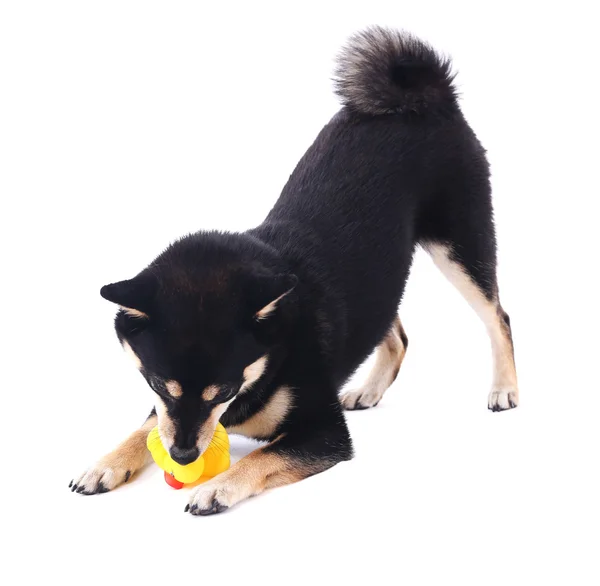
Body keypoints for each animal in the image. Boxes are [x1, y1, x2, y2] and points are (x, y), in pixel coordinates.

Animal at [70, 26, 516, 512]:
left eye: (223, 392)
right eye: (155, 383)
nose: (183, 456)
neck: (274, 350)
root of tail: (424, 98)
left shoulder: (324, 432)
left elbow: (262, 456)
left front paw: (216, 487)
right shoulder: (163, 409)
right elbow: (143, 428)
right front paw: (106, 463)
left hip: (460, 245)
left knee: (498, 317)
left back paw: (504, 389)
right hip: (386, 274)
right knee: (395, 333)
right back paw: (370, 389)